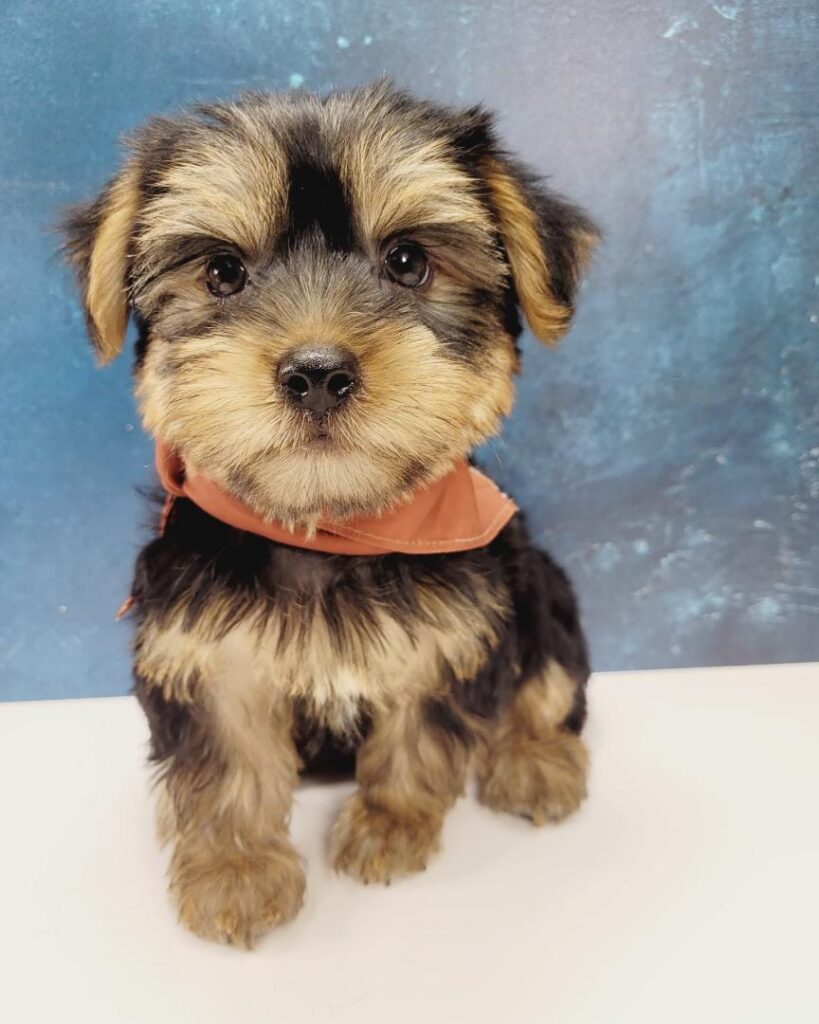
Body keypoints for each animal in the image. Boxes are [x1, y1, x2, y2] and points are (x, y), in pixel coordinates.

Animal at [62, 83, 593, 946]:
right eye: (223, 272)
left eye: (407, 261)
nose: (316, 372)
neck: (329, 527)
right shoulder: (205, 647)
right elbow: (227, 759)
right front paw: (236, 871)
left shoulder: (452, 633)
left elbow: (420, 732)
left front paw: (390, 826)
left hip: (536, 581)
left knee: (548, 679)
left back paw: (534, 760)